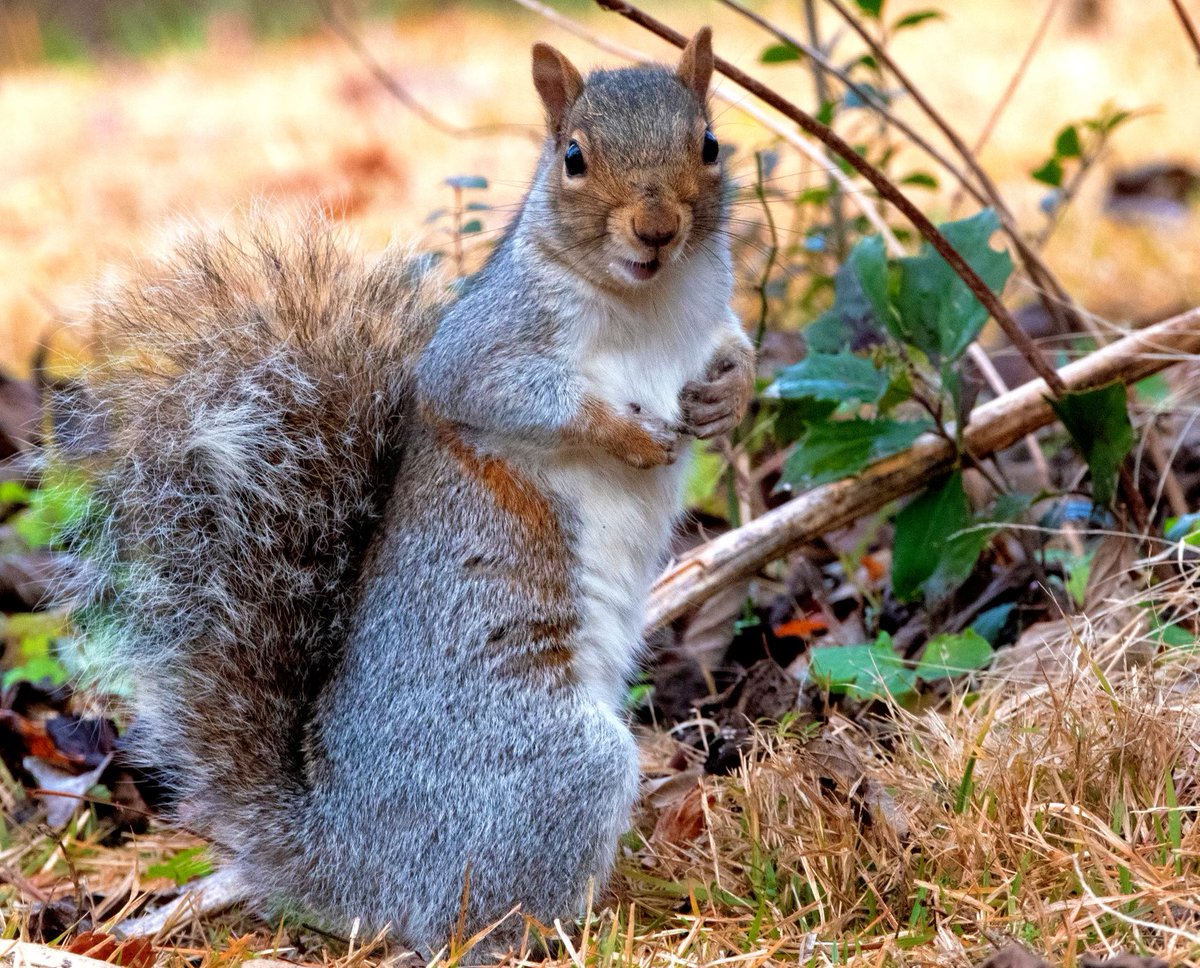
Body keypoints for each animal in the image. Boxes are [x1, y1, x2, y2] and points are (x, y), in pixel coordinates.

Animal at [58, 28, 748, 959]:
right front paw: (629, 434)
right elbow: (514, 397)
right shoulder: (483, 348)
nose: (657, 228)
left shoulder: (711, 316)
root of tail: (346, 860)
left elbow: (737, 352)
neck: (651, 304)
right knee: (475, 922)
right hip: (550, 777)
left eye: (708, 144)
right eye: (572, 157)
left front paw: (727, 396)